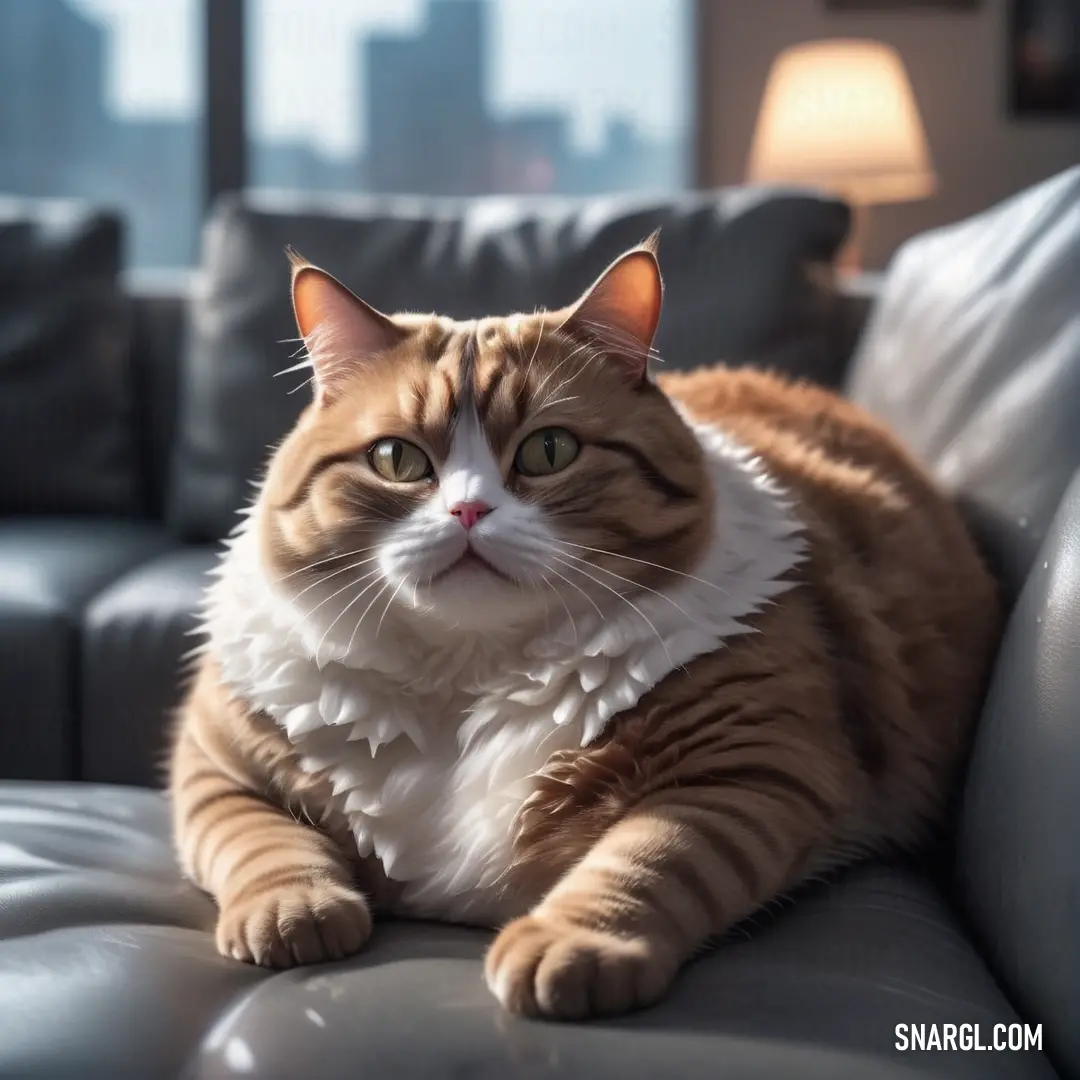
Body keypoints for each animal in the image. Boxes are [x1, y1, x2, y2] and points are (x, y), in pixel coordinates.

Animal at [164, 238, 997, 1019]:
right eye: (398, 459)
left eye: (548, 450)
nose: (469, 511)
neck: (467, 676)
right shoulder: (216, 765)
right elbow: (265, 843)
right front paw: (294, 910)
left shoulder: (745, 767)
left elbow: (644, 862)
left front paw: (567, 946)